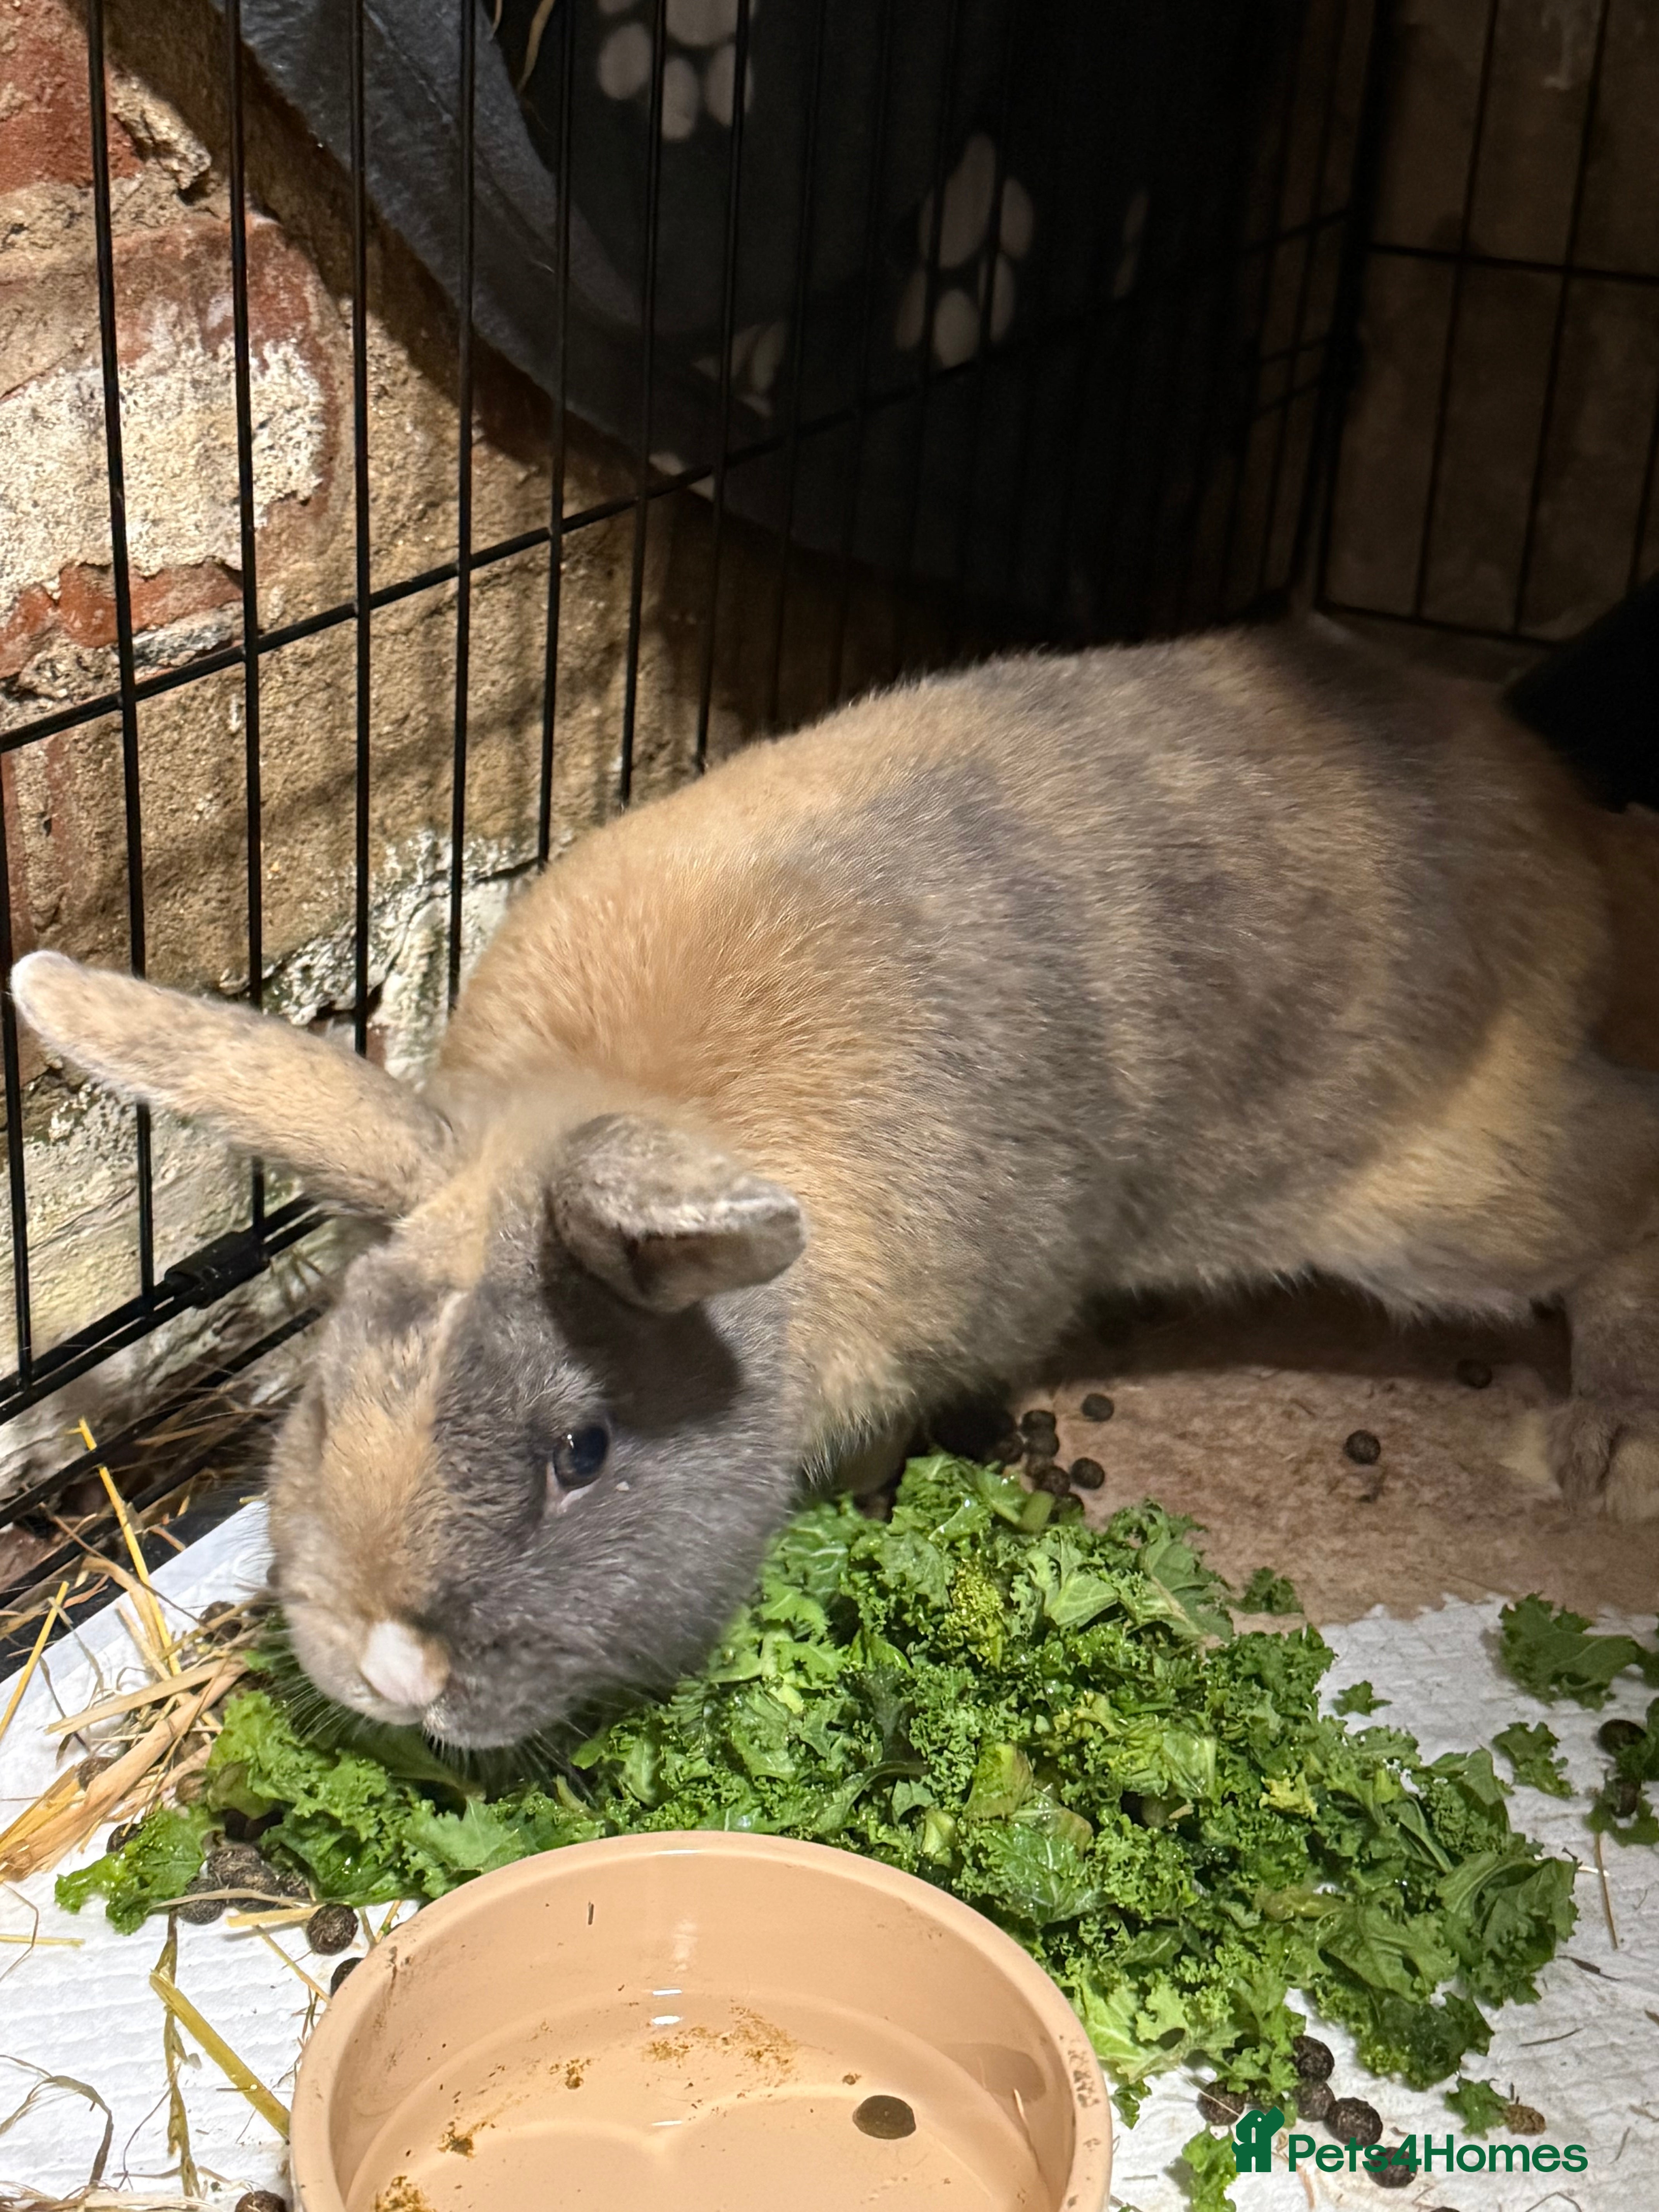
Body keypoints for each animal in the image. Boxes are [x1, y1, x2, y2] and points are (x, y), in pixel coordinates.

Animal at [14, 617, 1659, 1750]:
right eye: (324, 1402)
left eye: (583, 1451)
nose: (387, 1668)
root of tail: (1562, 821)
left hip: (1431, 1186)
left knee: (1620, 1191)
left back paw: (1602, 1446)